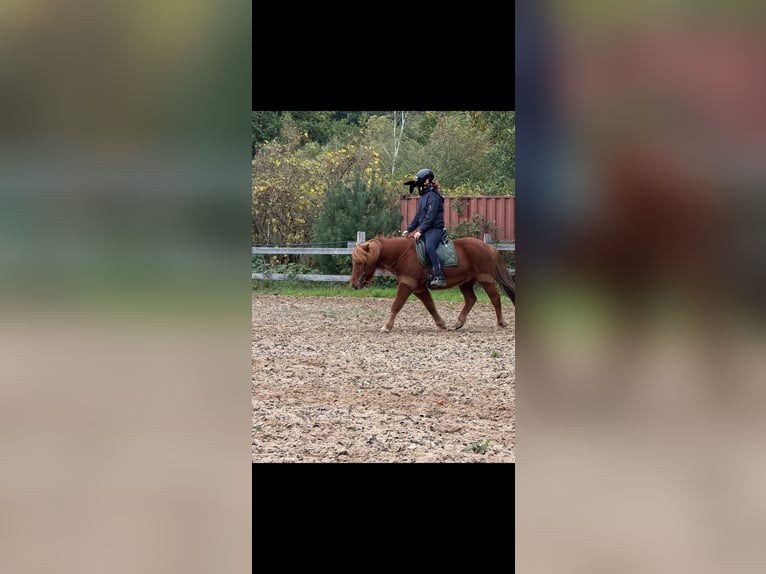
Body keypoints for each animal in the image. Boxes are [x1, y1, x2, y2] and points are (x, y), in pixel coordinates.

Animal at [350, 235, 515, 332]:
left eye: (359, 262)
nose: (353, 284)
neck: (403, 254)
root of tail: (489, 247)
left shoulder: (407, 284)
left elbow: (396, 305)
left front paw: (386, 326)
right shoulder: (419, 288)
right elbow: (430, 306)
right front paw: (441, 324)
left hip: (485, 279)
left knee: (495, 298)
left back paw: (500, 323)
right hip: (466, 282)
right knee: (471, 299)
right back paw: (459, 322)